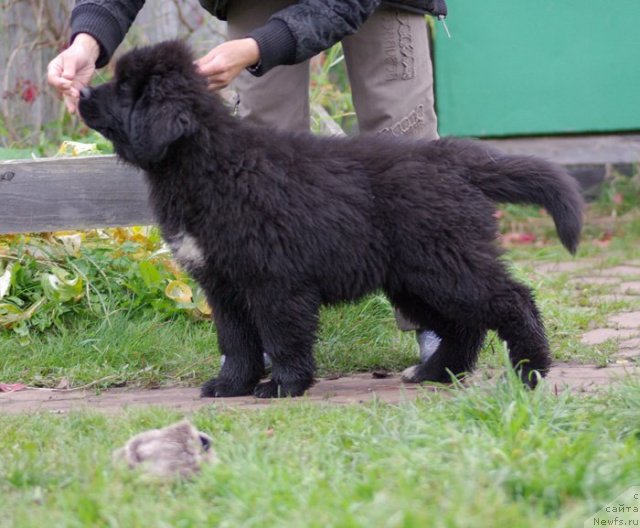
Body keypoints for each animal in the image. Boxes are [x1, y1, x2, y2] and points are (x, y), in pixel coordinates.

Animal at [77, 41, 584, 398]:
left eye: (125, 88)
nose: (79, 91)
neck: (211, 164)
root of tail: (456, 159)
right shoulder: (222, 283)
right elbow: (236, 341)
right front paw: (231, 385)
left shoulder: (274, 280)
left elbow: (282, 337)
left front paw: (282, 386)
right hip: (415, 277)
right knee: (464, 324)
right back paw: (436, 372)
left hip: (445, 263)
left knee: (512, 300)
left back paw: (530, 371)